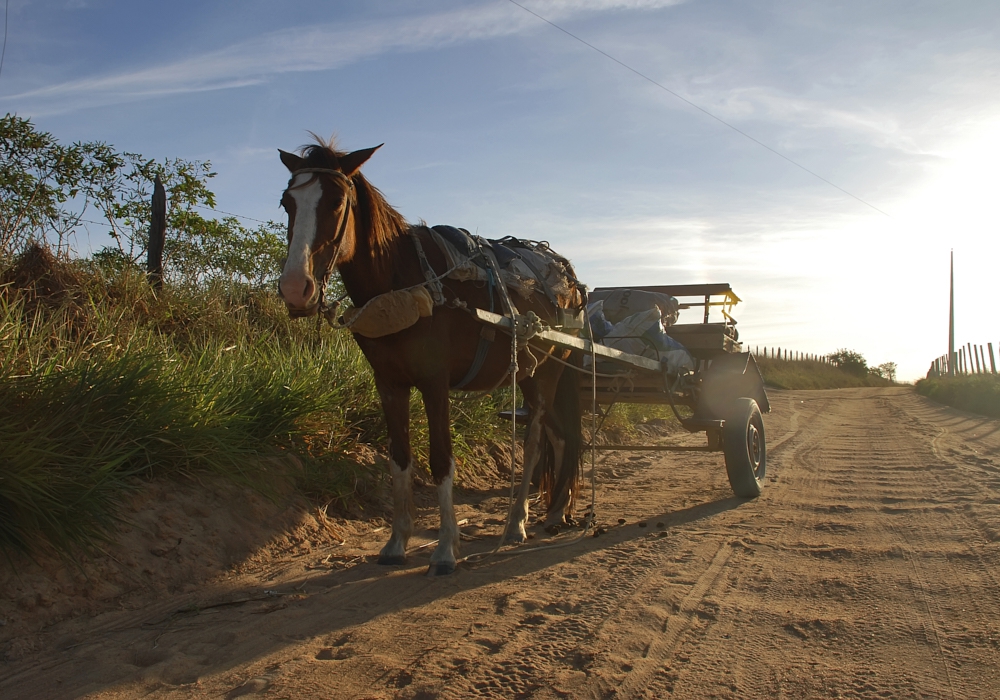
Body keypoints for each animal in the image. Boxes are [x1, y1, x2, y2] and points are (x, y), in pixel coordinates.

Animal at [274, 137, 584, 576]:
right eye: (287, 202)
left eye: (336, 201)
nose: (294, 287)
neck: (402, 284)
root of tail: (569, 278)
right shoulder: (389, 384)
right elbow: (399, 460)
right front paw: (396, 542)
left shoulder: (435, 384)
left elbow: (441, 461)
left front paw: (445, 550)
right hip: (530, 373)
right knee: (560, 437)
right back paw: (556, 511)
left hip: (549, 373)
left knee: (537, 440)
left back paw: (517, 523)